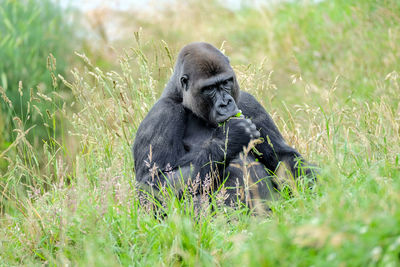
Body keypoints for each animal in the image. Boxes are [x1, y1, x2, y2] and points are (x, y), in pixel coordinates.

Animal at [133, 42, 314, 209]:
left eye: (226, 82)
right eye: (209, 88)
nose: (226, 103)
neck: (183, 100)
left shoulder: (249, 102)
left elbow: (283, 158)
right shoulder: (162, 114)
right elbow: (153, 187)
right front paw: (230, 138)